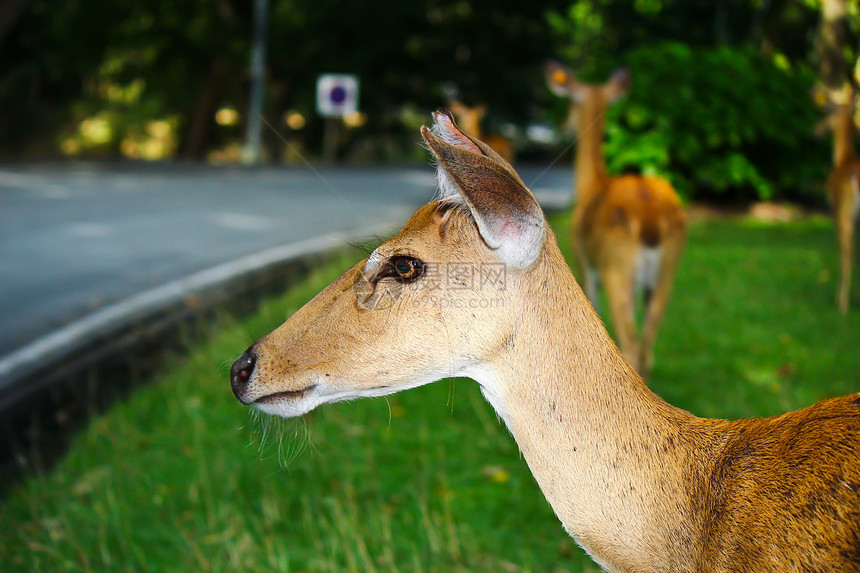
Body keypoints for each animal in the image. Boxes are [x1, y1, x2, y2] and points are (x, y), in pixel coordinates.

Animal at [544, 62, 684, 378]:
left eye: (569, 104)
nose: (562, 128)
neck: (591, 186)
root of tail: (650, 220)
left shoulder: (584, 263)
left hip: (617, 269)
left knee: (631, 346)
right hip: (666, 274)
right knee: (647, 348)